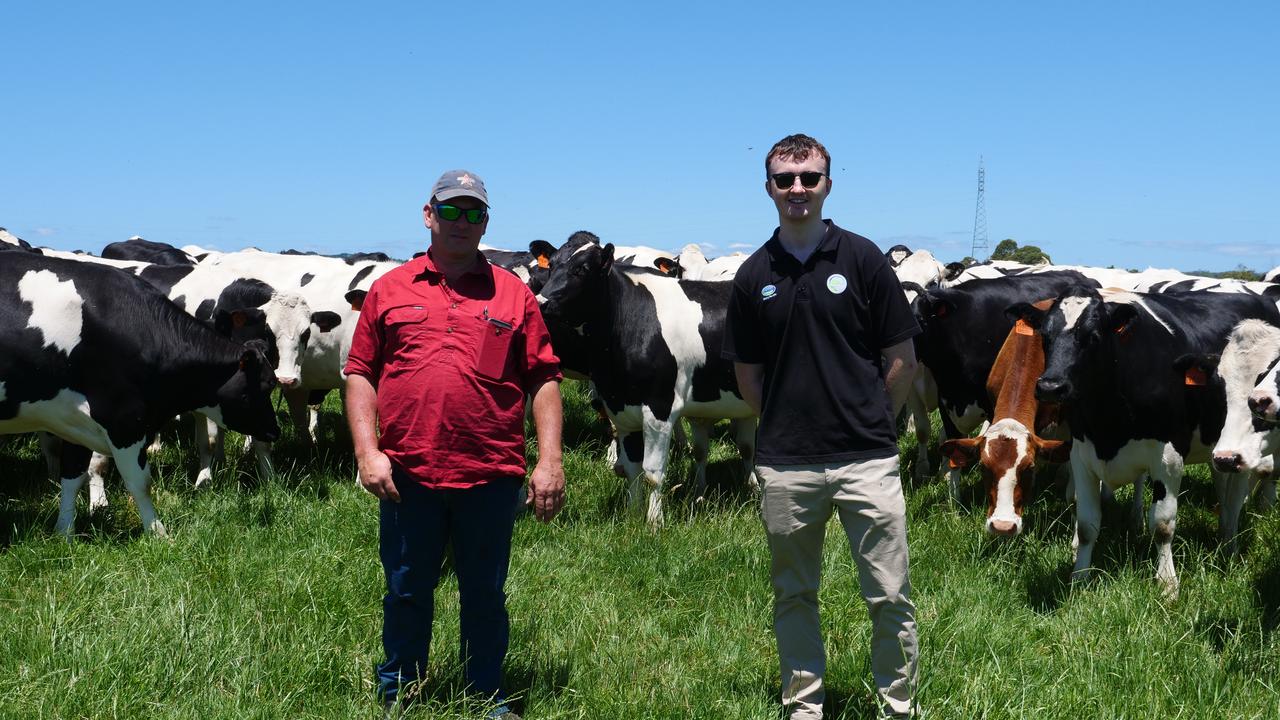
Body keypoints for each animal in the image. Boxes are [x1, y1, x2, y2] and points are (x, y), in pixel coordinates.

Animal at [0, 251, 279, 532]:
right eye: (267, 385)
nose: (274, 431)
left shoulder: (76, 422)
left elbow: (72, 477)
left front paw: (64, 532)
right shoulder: (123, 421)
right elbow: (140, 482)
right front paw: (157, 533)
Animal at [532, 240, 752, 527]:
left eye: (583, 269)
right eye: (552, 265)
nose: (541, 302)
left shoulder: (660, 410)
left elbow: (652, 473)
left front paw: (654, 522)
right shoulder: (623, 411)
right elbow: (632, 469)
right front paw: (632, 515)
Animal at [1008, 285, 1280, 594]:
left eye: (1093, 337)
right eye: (1045, 335)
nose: (1051, 387)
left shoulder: (1169, 456)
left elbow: (1162, 524)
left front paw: (1167, 583)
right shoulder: (1082, 453)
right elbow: (1087, 524)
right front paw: (1080, 576)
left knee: (1235, 498)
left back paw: (1229, 546)